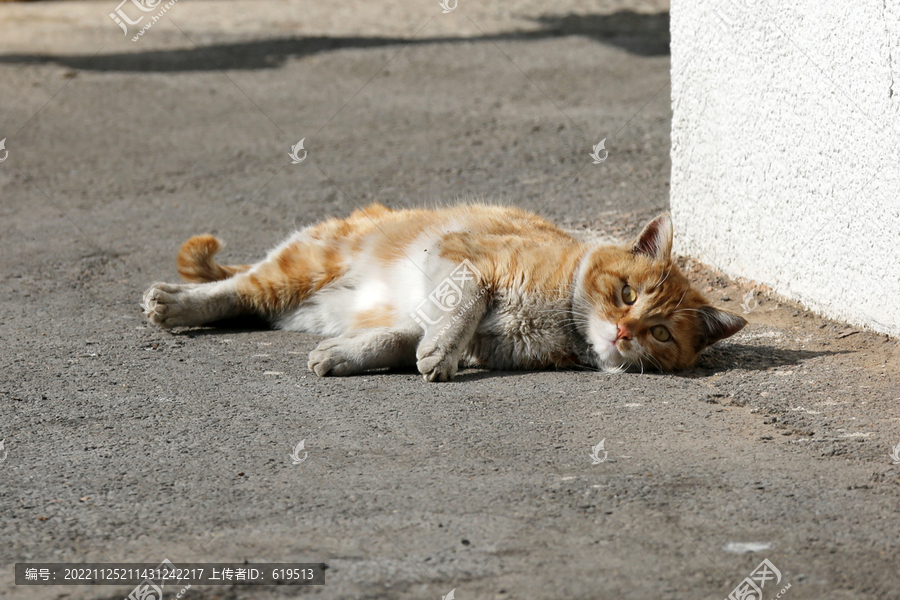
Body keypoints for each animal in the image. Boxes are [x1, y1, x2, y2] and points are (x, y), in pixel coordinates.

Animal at [141, 202, 744, 380]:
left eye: (659, 332)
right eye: (626, 294)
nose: (622, 331)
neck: (558, 318)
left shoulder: (463, 334)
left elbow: (398, 341)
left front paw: (347, 355)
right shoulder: (465, 263)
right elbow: (461, 310)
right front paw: (438, 352)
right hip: (300, 266)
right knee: (233, 289)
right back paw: (174, 302)